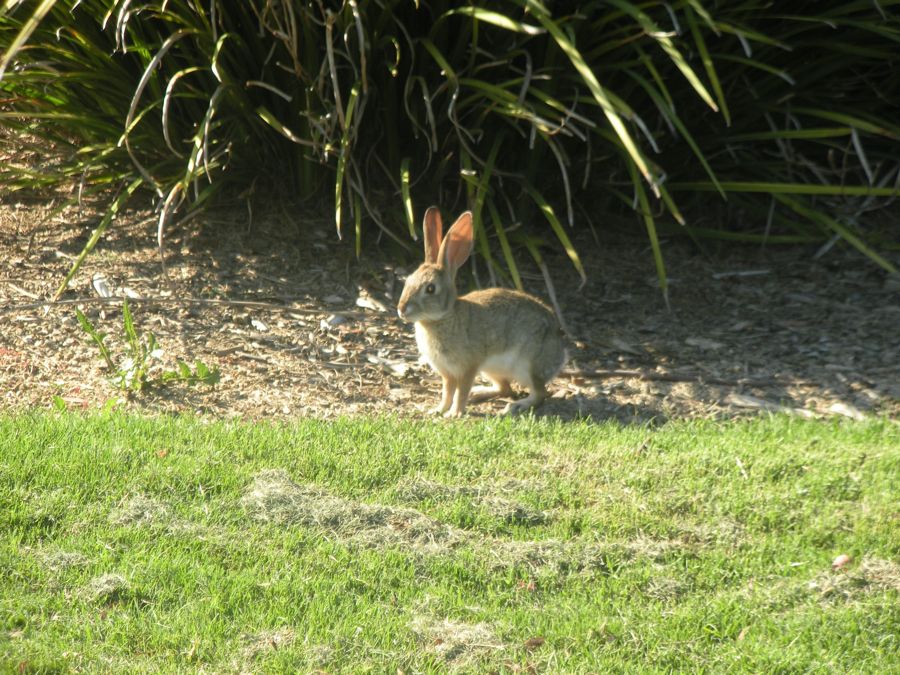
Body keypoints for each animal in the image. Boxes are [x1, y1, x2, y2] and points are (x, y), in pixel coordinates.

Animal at [398, 206, 568, 418]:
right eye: (408, 280)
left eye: (430, 289)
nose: (401, 309)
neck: (443, 318)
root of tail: (560, 353)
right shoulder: (447, 373)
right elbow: (447, 392)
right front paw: (437, 410)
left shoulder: (468, 367)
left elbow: (460, 392)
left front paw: (454, 414)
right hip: (491, 369)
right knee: (505, 389)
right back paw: (479, 393)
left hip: (527, 366)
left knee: (539, 393)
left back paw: (515, 406)